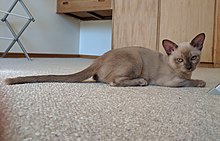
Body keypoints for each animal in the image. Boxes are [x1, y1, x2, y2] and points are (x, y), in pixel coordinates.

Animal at [4, 33, 206, 87]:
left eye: (193, 58)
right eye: (179, 60)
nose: (189, 67)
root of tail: (99, 58)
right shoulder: (173, 82)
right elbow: (190, 82)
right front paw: (201, 82)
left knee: (99, 78)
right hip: (135, 61)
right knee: (113, 82)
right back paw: (141, 81)